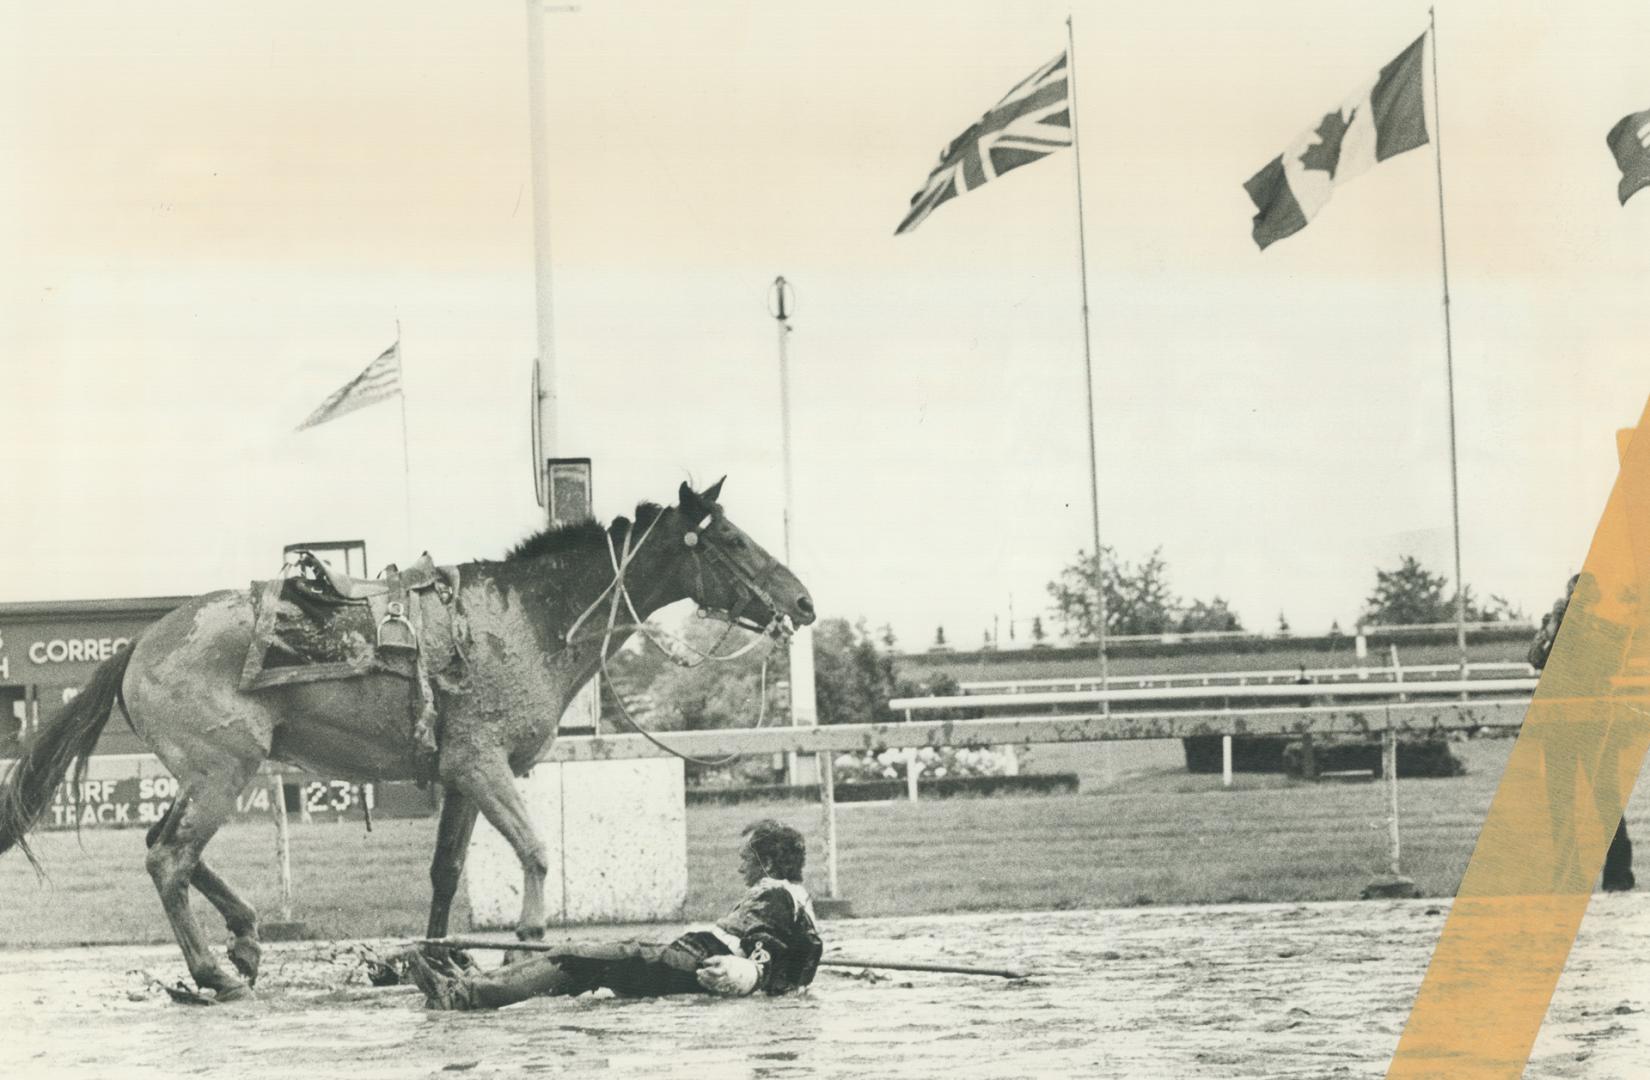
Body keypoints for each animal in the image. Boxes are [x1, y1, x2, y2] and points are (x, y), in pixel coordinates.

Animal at [0, 478, 811, 1002]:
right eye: (730, 538)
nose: (802, 601)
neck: (529, 619)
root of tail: (140, 643)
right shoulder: (484, 765)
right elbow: (534, 853)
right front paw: (525, 943)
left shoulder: (458, 776)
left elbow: (445, 874)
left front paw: (440, 961)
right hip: (222, 770)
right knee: (169, 857)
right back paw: (215, 974)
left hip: (215, 774)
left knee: (164, 846)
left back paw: (247, 938)